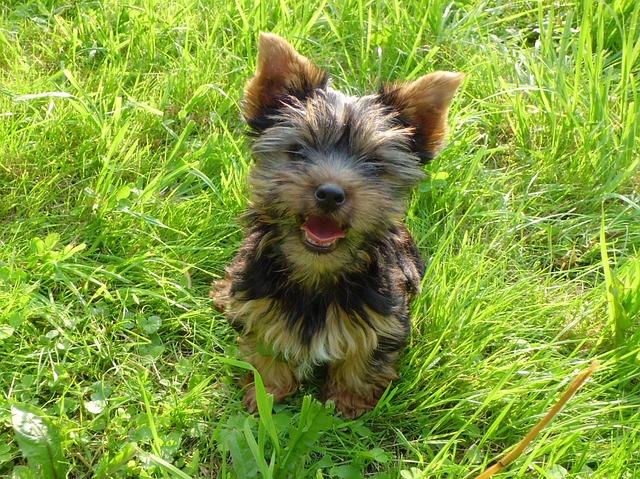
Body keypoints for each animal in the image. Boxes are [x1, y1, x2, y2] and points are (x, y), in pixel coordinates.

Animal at [212, 31, 462, 418]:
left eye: (374, 164)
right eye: (297, 151)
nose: (330, 193)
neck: (317, 270)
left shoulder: (384, 317)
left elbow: (365, 357)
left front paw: (348, 401)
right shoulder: (259, 303)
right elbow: (265, 344)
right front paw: (267, 390)